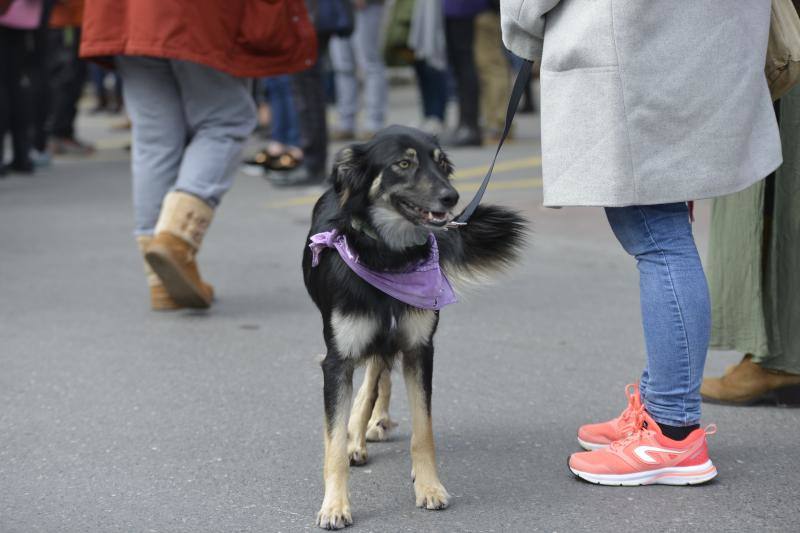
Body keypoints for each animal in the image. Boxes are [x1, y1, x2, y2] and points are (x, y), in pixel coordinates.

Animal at [302, 125, 524, 528]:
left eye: (441, 163)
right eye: (403, 164)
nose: (451, 197)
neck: (388, 258)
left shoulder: (419, 350)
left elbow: (424, 430)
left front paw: (429, 486)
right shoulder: (337, 360)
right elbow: (334, 444)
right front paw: (335, 505)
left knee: (377, 375)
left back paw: (371, 424)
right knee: (374, 374)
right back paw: (359, 437)